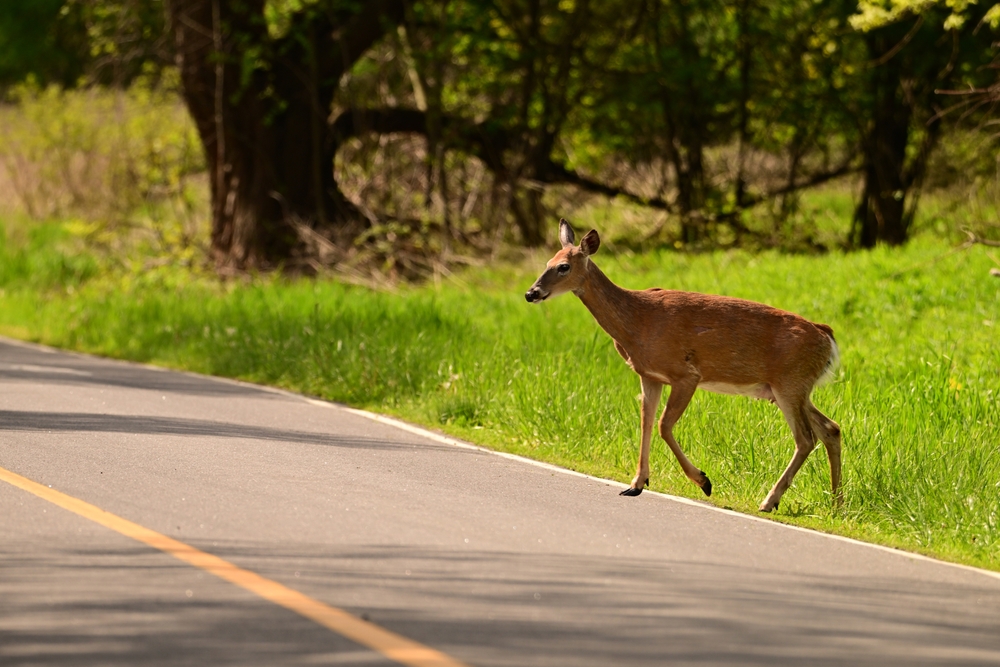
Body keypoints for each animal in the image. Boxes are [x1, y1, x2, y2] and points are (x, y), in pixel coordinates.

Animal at [525, 219, 842, 512]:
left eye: (563, 267)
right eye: (547, 262)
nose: (531, 293)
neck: (637, 321)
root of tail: (826, 335)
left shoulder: (686, 374)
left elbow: (664, 425)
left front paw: (704, 480)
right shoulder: (649, 375)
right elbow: (646, 421)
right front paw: (636, 484)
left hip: (790, 383)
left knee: (806, 438)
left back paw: (769, 501)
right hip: (790, 389)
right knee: (831, 428)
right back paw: (836, 504)